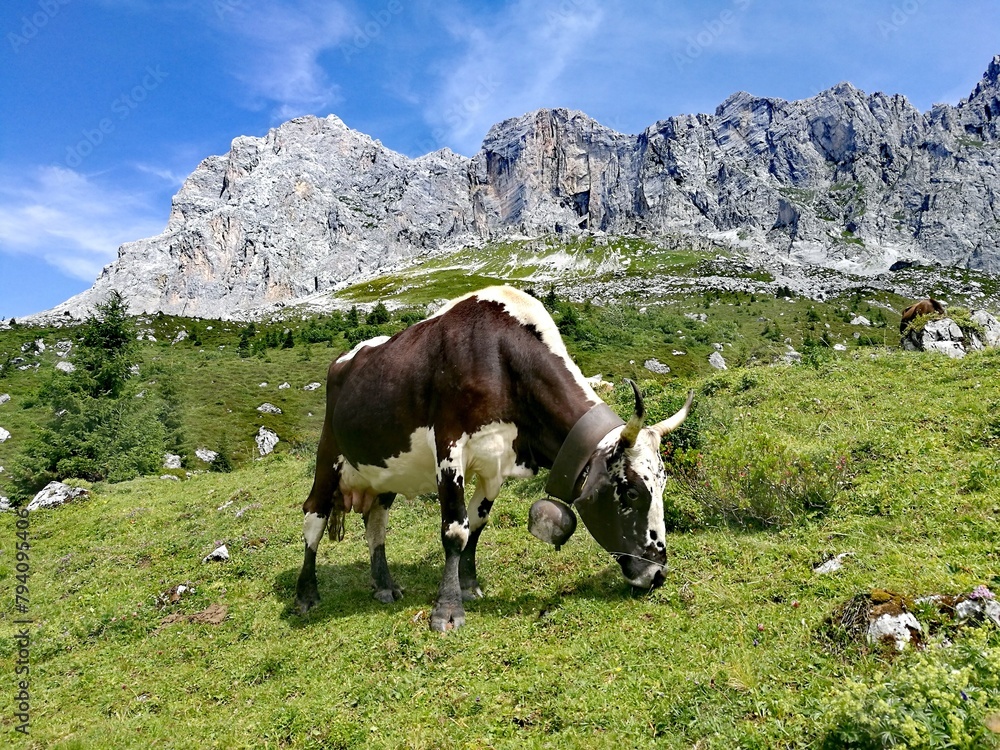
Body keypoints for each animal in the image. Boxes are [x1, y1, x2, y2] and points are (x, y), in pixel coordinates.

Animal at [292, 284, 692, 632]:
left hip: (384, 472)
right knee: (314, 516)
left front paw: (469, 585)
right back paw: (305, 595)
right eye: (631, 491)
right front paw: (448, 609)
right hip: (328, 455)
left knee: (375, 521)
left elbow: (477, 525)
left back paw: (384, 585)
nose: (657, 573)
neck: (502, 361)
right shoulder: (449, 450)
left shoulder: (495, 465)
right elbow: (455, 530)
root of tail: (346, 358)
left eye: (663, 485)